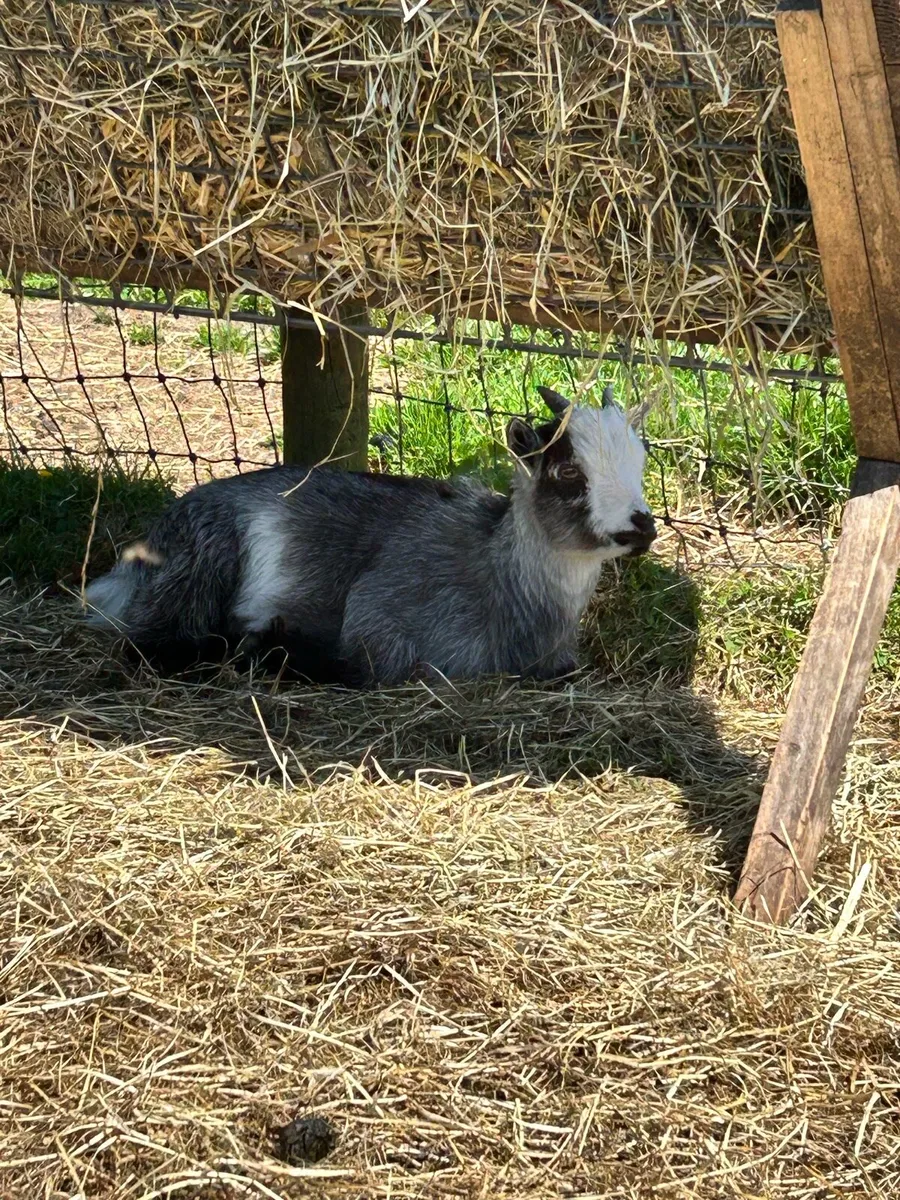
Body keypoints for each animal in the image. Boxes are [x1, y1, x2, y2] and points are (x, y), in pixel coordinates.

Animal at [85, 385, 656, 685]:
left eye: (642, 458)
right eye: (568, 471)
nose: (642, 525)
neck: (497, 574)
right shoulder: (381, 620)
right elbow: (362, 666)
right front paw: (276, 645)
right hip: (203, 561)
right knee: (151, 645)